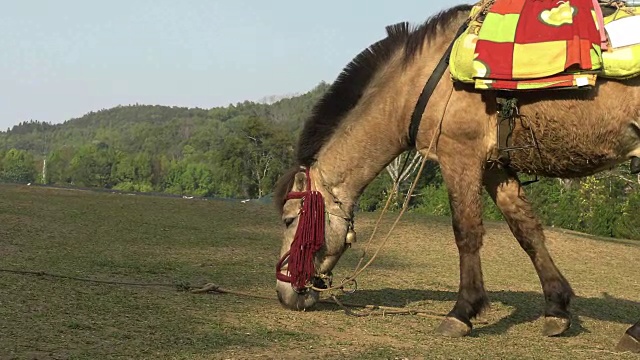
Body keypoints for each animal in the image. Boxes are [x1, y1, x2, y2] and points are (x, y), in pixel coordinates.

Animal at [272, 3, 640, 352]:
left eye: (290, 220)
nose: (284, 292)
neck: (424, 80)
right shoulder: (493, 166)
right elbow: (526, 231)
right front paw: (556, 308)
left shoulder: (459, 156)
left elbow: (466, 233)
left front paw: (462, 312)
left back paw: (633, 332)